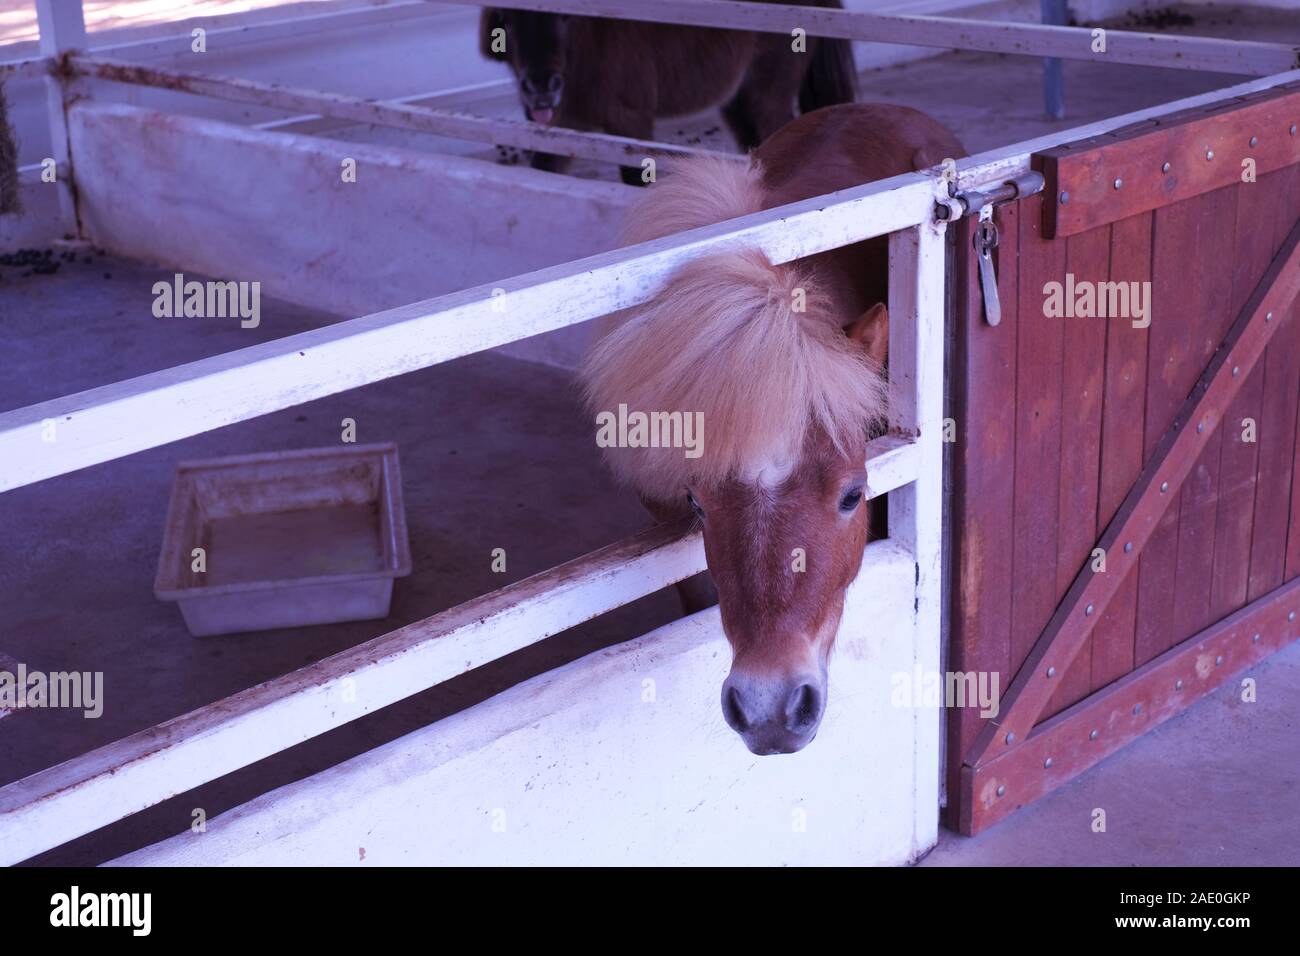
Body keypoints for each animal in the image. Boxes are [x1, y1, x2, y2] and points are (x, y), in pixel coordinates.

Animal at [478, 6, 857, 185]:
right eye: (505, 20)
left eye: (562, 17)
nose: (541, 89)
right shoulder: (564, 128)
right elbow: (544, 167)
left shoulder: (629, 122)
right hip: (738, 103)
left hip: (768, 95)